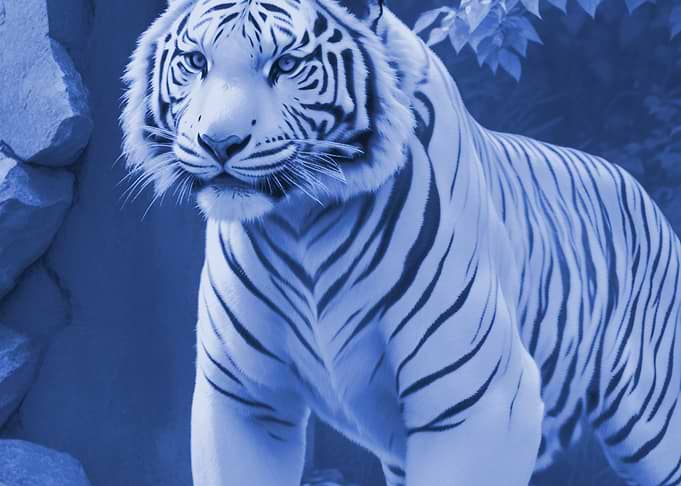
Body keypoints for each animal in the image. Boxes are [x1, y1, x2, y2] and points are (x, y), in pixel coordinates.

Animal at [120, 0, 681, 484]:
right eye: (197, 61)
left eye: (287, 63)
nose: (220, 143)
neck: (300, 222)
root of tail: (640, 192)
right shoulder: (244, 399)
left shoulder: (482, 402)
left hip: (655, 422)